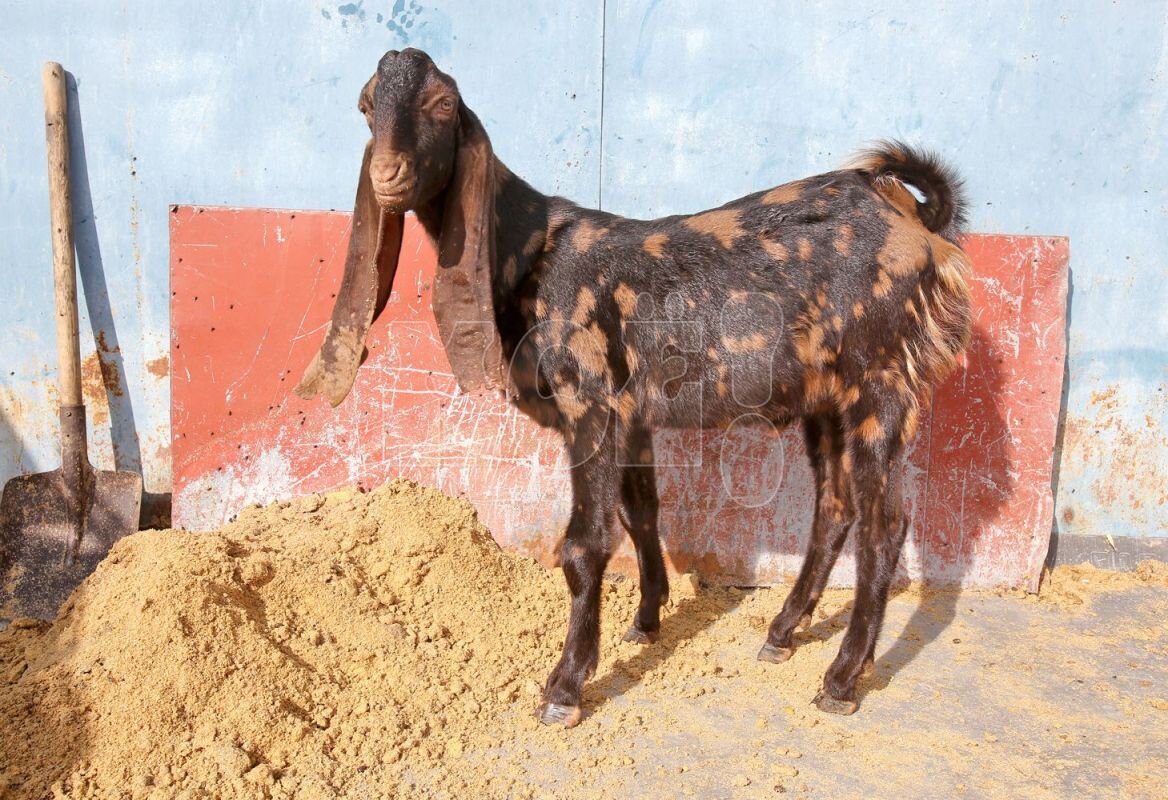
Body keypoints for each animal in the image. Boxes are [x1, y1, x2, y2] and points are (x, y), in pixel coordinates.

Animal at [296, 46, 971, 728]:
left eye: (441, 103)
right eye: (365, 105)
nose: (387, 174)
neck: (531, 248)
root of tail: (915, 219)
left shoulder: (589, 402)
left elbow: (584, 544)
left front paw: (566, 685)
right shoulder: (631, 413)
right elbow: (640, 511)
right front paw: (647, 620)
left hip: (880, 381)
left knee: (884, 525)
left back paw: (841, 678)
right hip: (826, 396)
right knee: (835, 506)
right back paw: (782, 633)